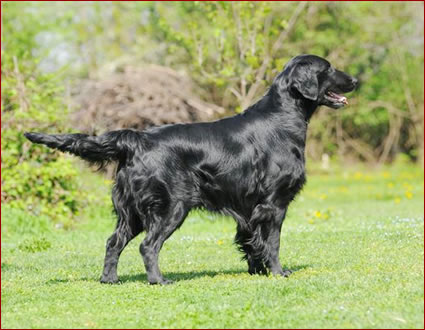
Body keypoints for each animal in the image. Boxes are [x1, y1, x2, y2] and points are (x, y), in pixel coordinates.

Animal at [24, 54, 356, 284]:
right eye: (327, 68)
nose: (354, 80)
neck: (282, 119)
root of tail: (137, 139)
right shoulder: (273, 203)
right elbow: (271, 243)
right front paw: (277, 272)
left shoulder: (249, 208)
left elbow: (251, 242)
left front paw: (256, 271)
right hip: (171, 206)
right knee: (148, 246)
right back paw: (158, 280)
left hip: (131, 211)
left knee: (113, 242)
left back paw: (110, 279)